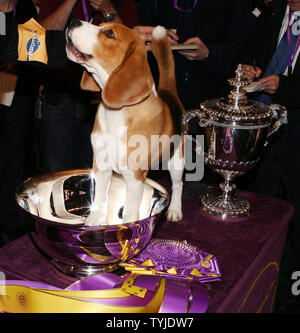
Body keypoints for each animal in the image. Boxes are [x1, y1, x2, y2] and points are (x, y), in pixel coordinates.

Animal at [65, 19, 185, 224]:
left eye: (109, 34)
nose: (73, 21)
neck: (116, 113)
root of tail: (168, 94)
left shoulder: (134, 176)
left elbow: (129, 211)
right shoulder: (101, 164)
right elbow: (100, 200)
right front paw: (94, 222)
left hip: (176, 160)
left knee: (178, 185)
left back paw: (175, 209)